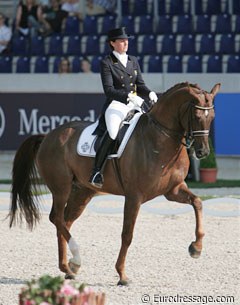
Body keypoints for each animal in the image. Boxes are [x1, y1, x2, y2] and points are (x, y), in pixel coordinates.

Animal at [8, 81, 220, 284]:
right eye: (197, 116)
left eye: (212, 117)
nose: (203, 152)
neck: (160, 138)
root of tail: (47, 137)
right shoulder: (134, 196)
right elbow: (127, 235)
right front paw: (122, 275)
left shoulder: (173, 190)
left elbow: (198, 203)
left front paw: (196, 247)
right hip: (61, 188)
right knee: (56, 218)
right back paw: (76, 259)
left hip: (82, 192)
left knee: (65, 221)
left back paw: (68, 268)